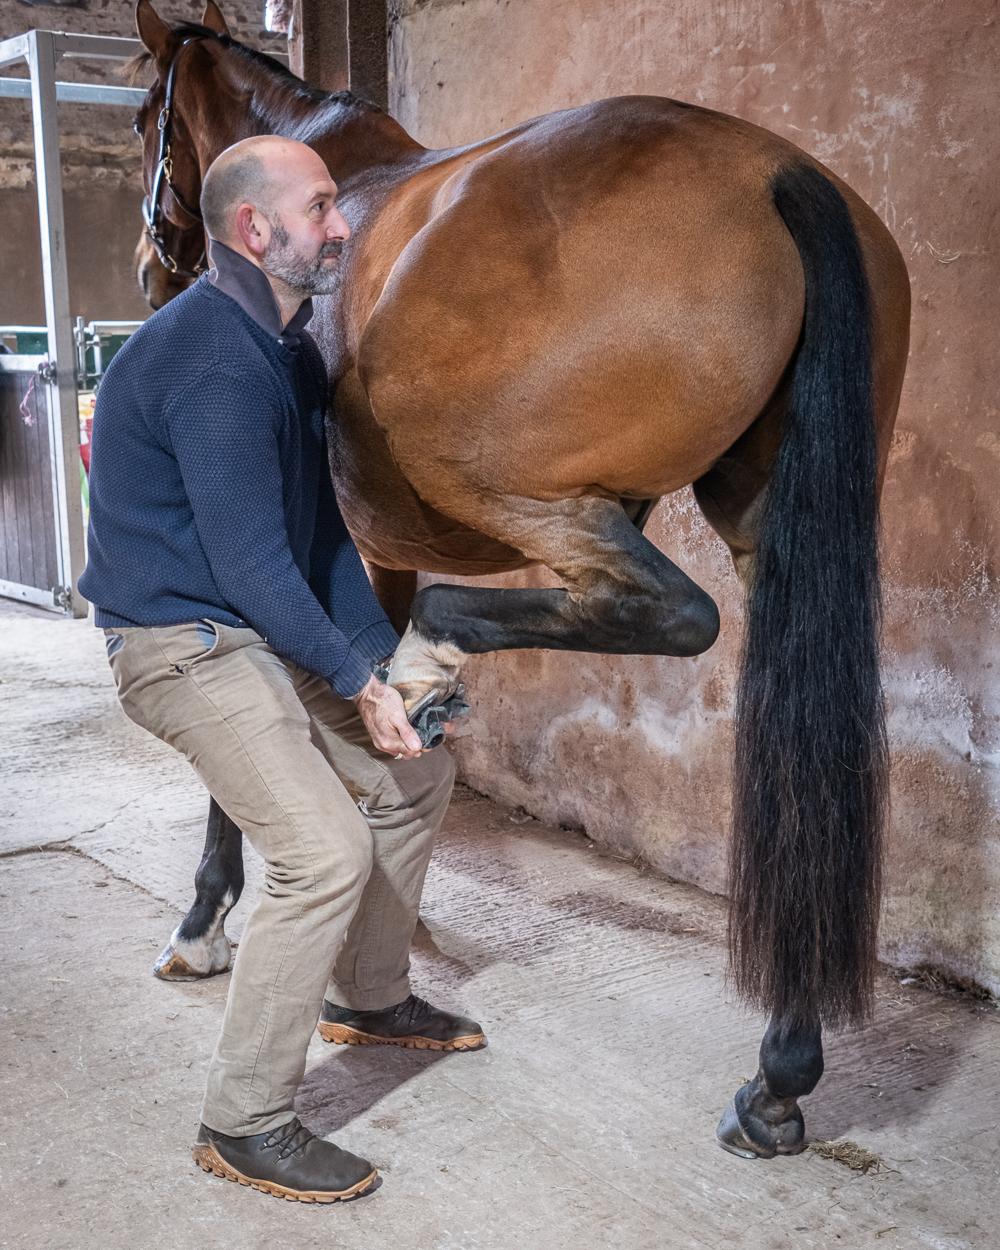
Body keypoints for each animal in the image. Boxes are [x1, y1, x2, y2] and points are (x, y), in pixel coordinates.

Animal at [127, 0, 910, 1159]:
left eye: (147, 117)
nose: (150, 266)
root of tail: (779, 171)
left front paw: (204, 919)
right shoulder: (372, 552)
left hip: (514, 485)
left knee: (666, 611)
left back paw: (430, 665)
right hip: (780, 532)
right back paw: (779, 1078)